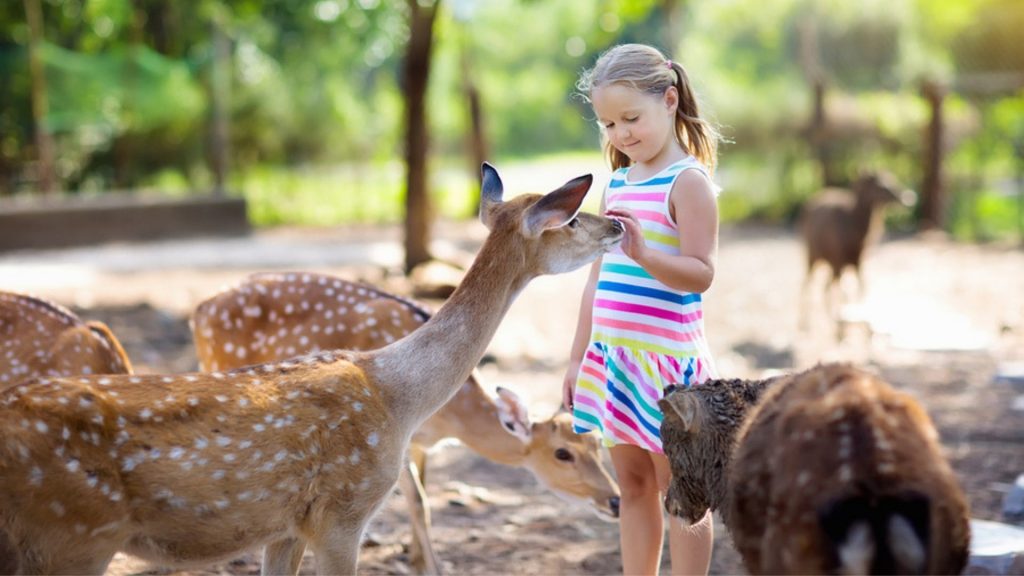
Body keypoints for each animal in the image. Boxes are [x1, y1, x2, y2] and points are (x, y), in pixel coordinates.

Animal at [192, 272, 622, 573]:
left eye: (597, 444)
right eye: (562, 453)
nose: (615, 500)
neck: (451, 419)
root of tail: (199, 310)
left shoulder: (420, 442)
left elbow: (424, 496)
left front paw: (415, 559)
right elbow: (419, 502)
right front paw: (433, 568)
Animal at [794, 168, 917, 334]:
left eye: (892, 178)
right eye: (882, 186)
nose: (908, 197)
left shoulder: (858, 262)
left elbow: (859, 289)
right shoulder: (840, 261)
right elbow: (844, 292)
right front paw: (842, 326)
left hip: (829, 262)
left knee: (825, 287)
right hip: (813, 255)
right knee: (809, 283)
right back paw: (806, 324)